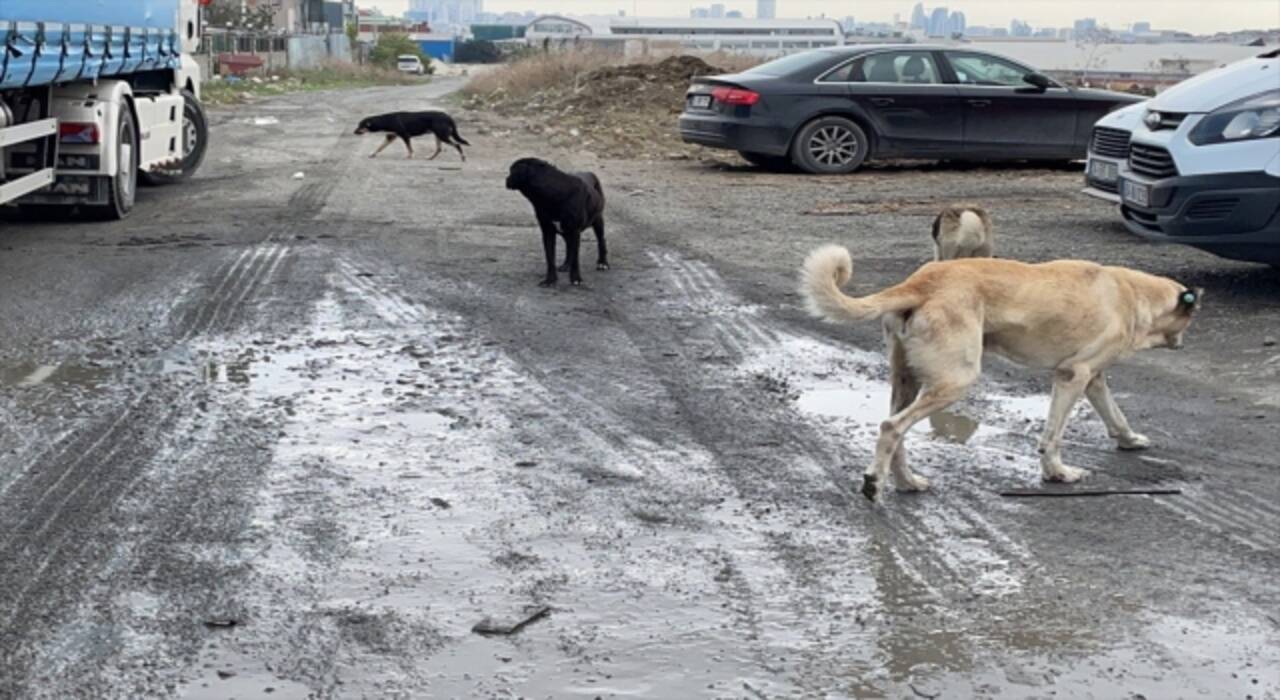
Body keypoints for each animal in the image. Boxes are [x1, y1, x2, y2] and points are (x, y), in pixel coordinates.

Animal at [504, 158, 609, 287]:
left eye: (511, 171)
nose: (506, 179)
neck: (553, 193)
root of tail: (589, 173)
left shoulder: (575, 231)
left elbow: (576, 258)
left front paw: (576, 279)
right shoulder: (548, 231)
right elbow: (550, 258)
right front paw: (550, 280)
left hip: (597, 219)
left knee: (601, 240)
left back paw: (603, 263)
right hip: (565, 232)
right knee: (569, 247)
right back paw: (566, 265)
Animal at [798, 244, 1198, 501]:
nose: (1183, 344)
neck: (1131, 292)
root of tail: (920, 283)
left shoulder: (1094, 380)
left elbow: (1116, 416)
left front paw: (1130, 441)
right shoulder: (1072, 376)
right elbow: (1052, 437)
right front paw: (1057, 473)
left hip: (906, 381)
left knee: (897, 433)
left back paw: (906, 482)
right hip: (955, 381)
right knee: (891, 428)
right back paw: (874, 485)